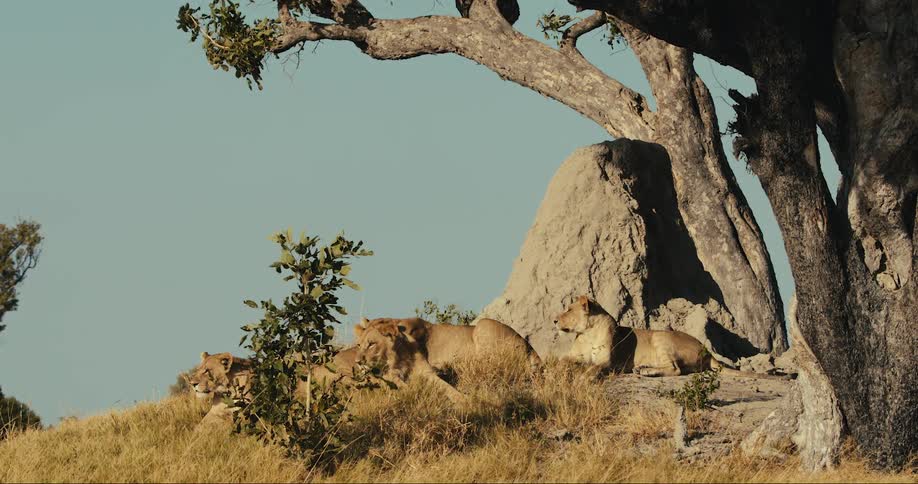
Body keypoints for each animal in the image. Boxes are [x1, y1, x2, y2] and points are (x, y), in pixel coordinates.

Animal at [353, 316, 541, 402]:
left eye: (371, 344)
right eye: (359, 345)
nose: (358, 362)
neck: (401, 353)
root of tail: (532, 350)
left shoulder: (425, 371)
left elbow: (448, 388)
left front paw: (464, 400)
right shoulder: (395, 374)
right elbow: (399, 383)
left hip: (483, 325)